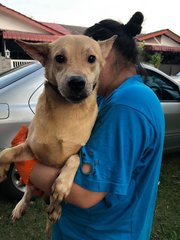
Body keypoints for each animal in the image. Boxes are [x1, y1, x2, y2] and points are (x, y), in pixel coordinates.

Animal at [0, 33, 115, 225]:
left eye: (91, 58)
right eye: (59, 58)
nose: (77, 83)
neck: (68, 112)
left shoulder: (79, 151)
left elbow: (74, 159)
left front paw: (62, 185)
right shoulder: (31, 150)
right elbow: (6, 152)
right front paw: (1, 169)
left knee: (51, 199)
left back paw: (55, 208)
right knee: (29, 191)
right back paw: (21, 207)